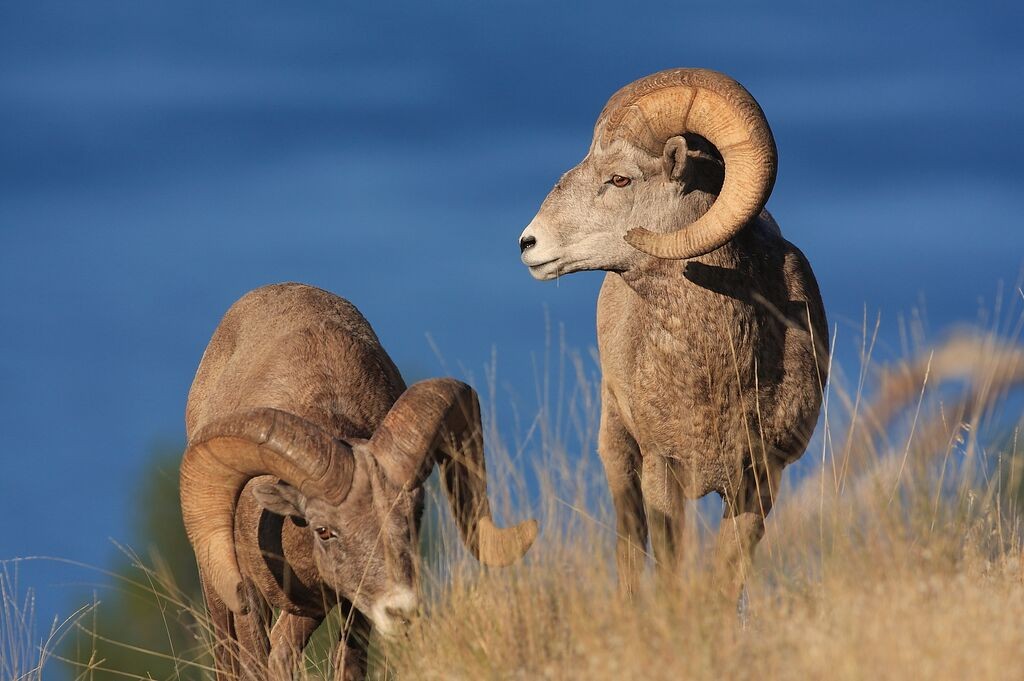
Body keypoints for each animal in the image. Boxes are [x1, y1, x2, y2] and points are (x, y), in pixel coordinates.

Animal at [516, 67, 827, 602]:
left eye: (620, 178)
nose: (528, 244)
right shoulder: (662, 468)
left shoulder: (760, 480)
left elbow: (727, 577)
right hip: (618, 451)